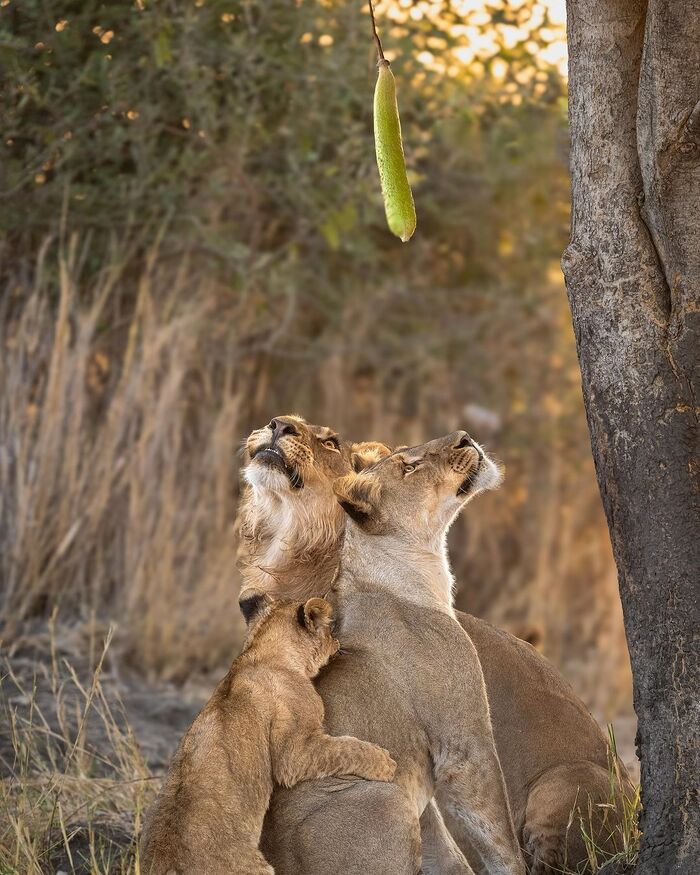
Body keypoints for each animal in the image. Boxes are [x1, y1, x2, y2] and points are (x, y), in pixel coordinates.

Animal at [238, 418, 632, 875]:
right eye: (409, 466)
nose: (465, 437)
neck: (425, 569)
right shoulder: (465, 742)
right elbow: (496, 836)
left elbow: (448, 851)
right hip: (390, 792)